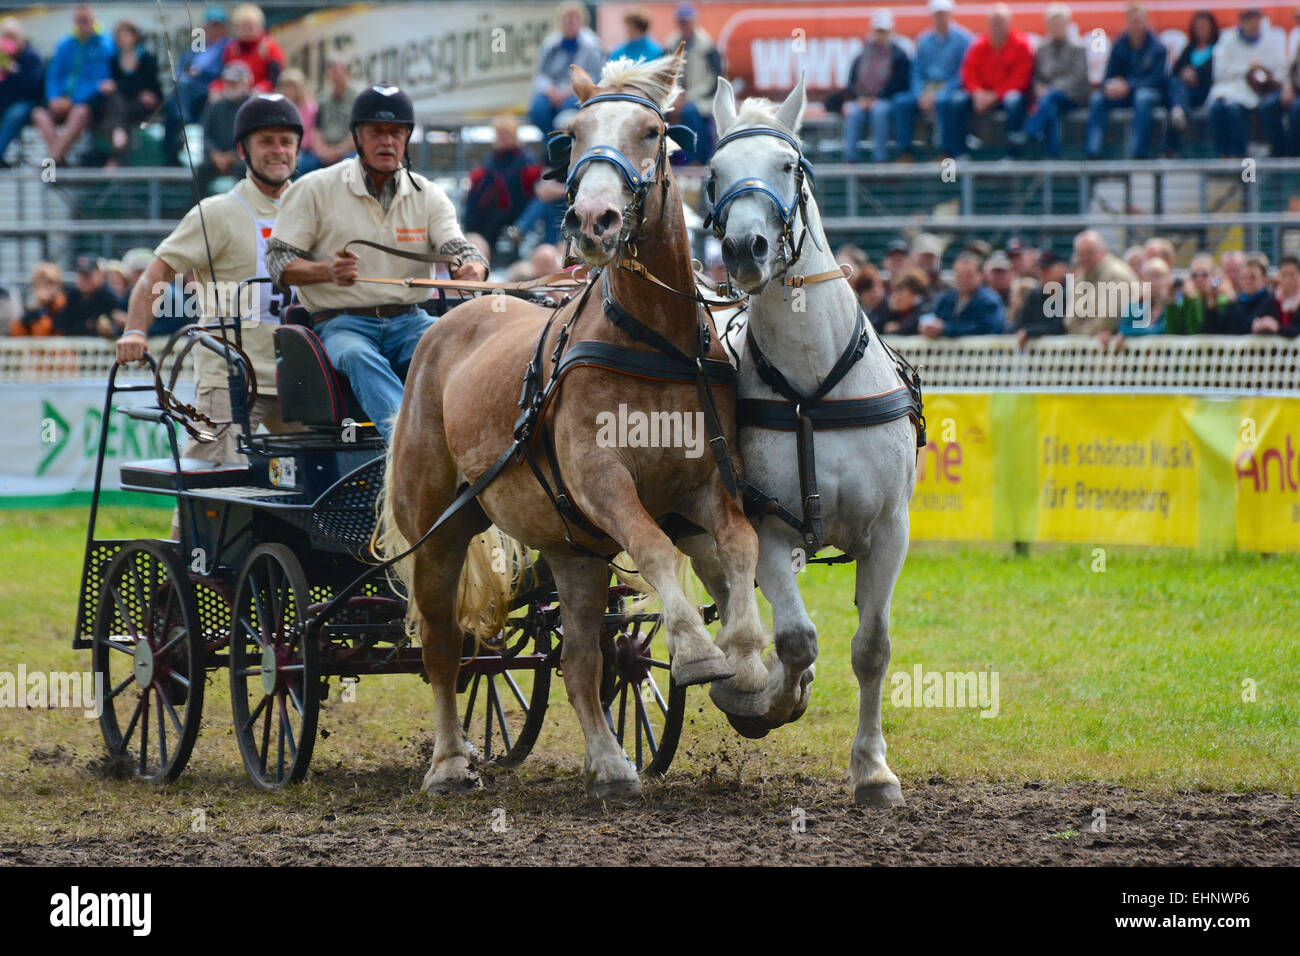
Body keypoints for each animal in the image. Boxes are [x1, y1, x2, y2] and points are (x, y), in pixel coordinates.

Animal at [374, 52, 769, 801]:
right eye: (574, 135)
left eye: (653, 132)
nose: (593, 218)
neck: (651, 339)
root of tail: (453, 318)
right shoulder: (601, 480)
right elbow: (654, 547)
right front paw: (698, 652)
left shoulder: (709, 481)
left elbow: (740, 546)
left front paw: (751, 663)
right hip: (438, 530)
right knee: (443, 649)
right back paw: (448, 763)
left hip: (572, 550)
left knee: (580, 660)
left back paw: (611, 764)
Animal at [681, 76, 925, 806]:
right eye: (714, 173)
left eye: (790, 166)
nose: (745, 248)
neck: (814, 386)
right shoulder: (770, 528)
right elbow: (795, 638)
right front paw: (773, 702)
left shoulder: (889, 530)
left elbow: (872, 647)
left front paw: (873, 771)